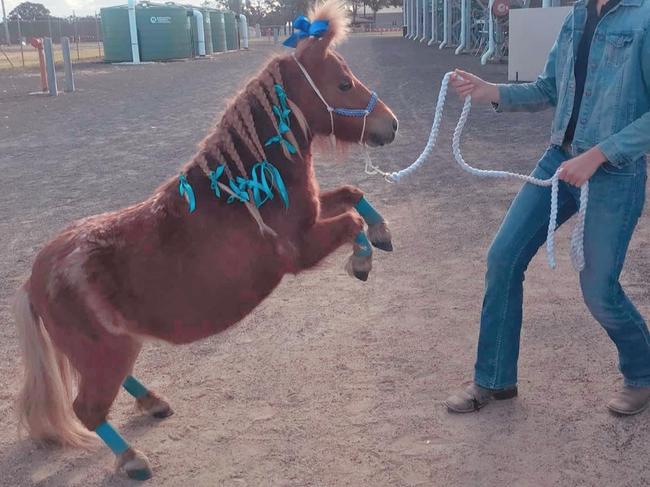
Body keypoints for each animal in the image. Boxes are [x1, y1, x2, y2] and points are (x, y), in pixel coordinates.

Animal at [11, 0, 394, 480]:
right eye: (343, 83)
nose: (391, 125)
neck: (245, 188)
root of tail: (34, 277)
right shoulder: (301, 249)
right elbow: (350, 222)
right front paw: (361, 261)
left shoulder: (311, 214)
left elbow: (353, 195)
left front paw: (383, 234)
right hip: (103, 351)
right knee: (89, 409)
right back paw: (132, 459)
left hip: (115, 345)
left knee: (112, 386)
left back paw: (154, 402)